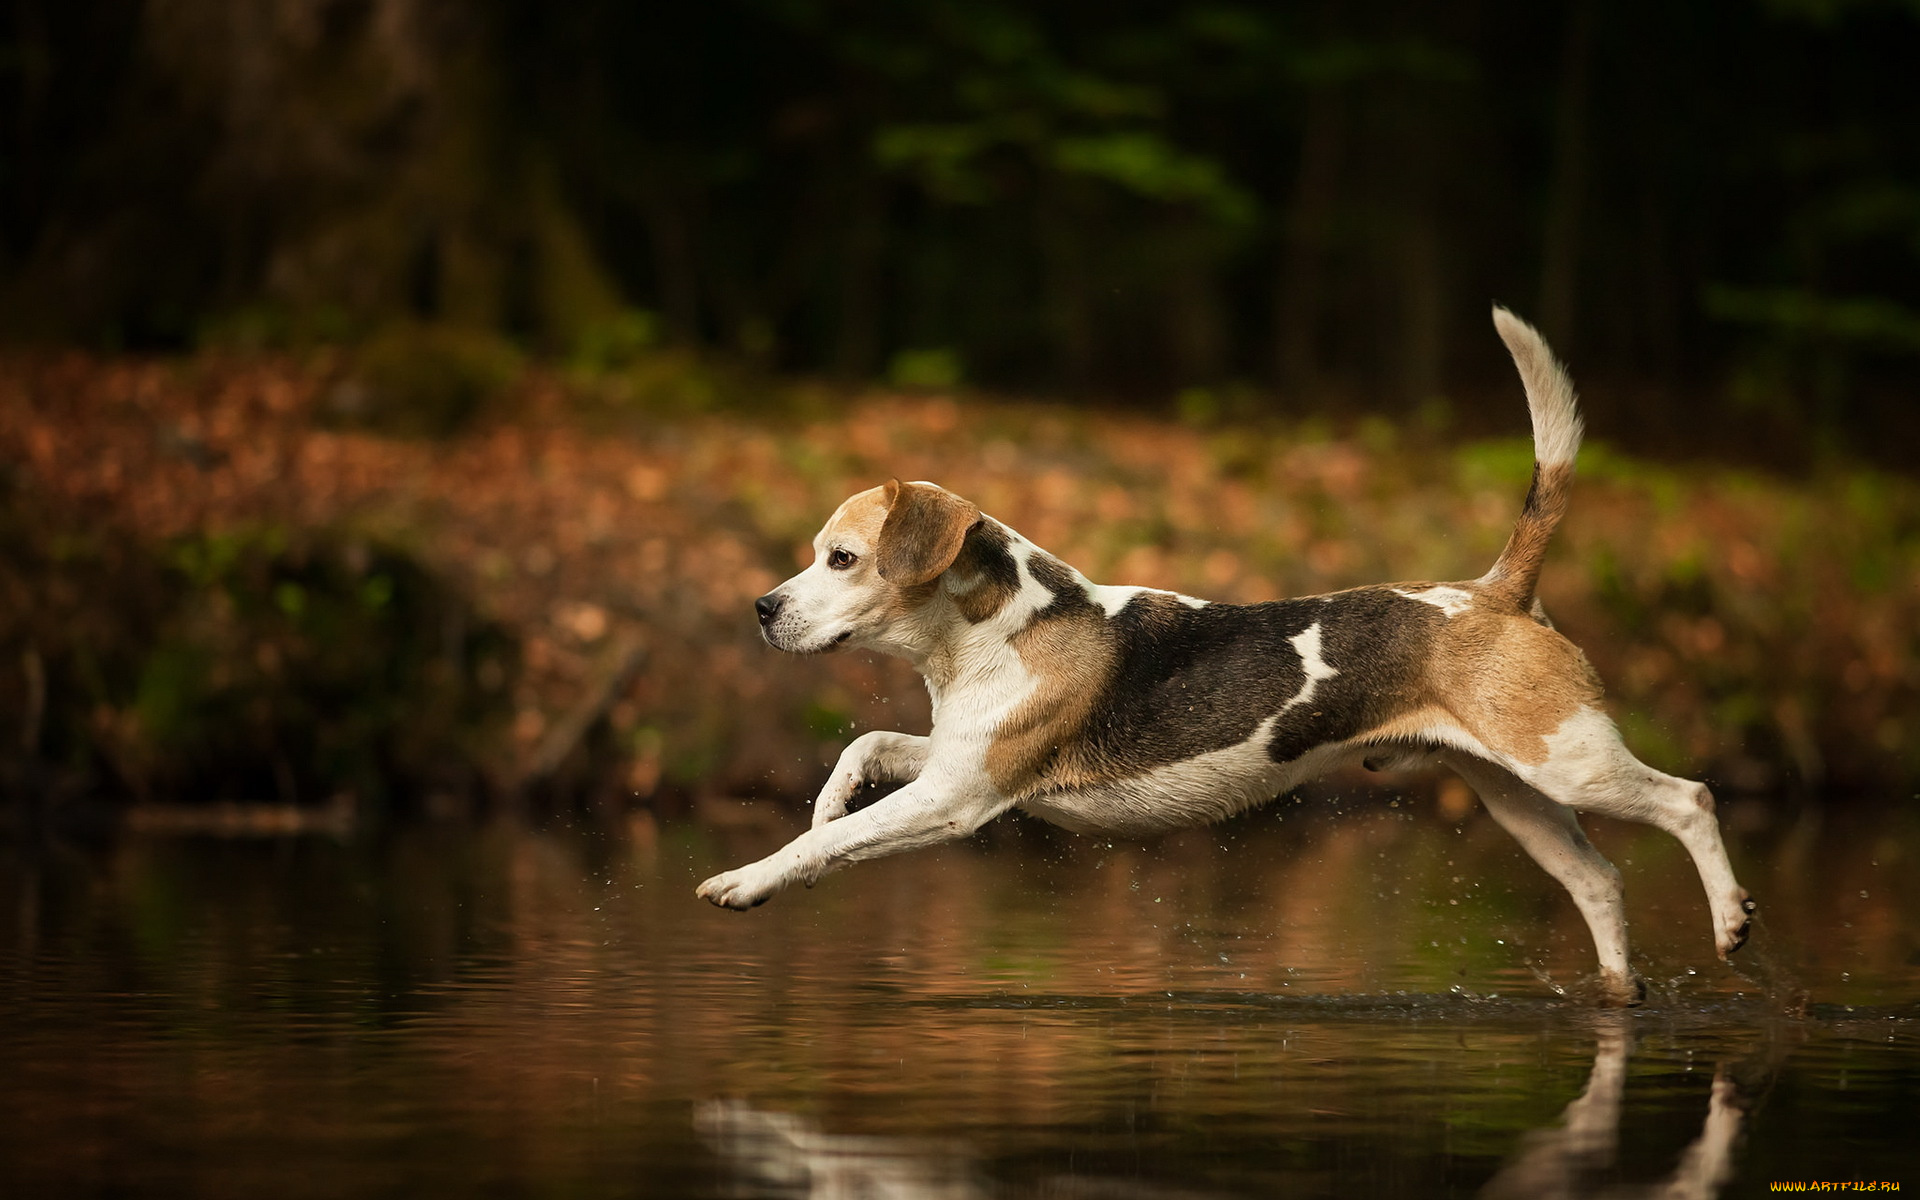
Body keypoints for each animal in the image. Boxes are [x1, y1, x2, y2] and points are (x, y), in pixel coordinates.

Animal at [702, 307, 1758, 998]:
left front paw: (749, 879)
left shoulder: (960, 798)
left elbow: (827, 846)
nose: (760, 608)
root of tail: (1495, 591)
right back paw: (1619, 997)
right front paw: (826, 799)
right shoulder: (960, 759)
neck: (996, 629)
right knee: (1600, 881)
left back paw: (1731, 920)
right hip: (1518, 794)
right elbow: (864, 752)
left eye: (841, 558)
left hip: (1571, 762)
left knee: (1692, 799)